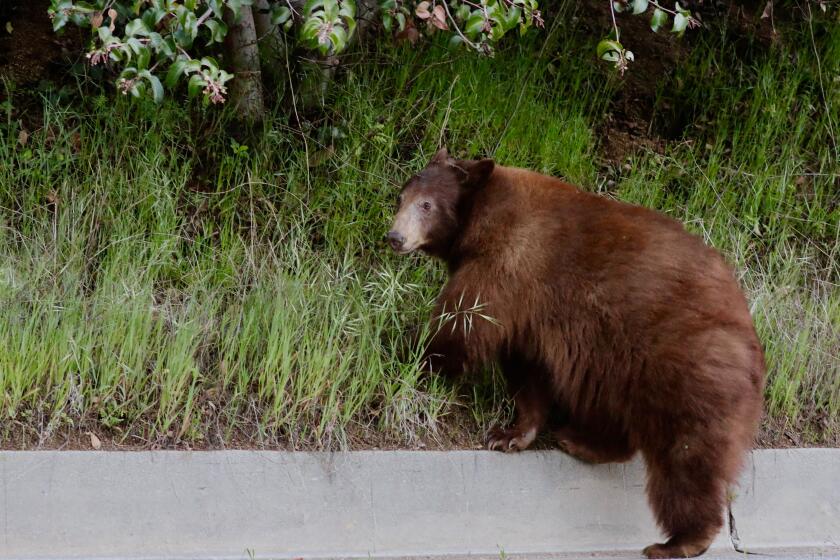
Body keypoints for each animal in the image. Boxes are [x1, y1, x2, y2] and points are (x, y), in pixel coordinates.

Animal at [386, 148, 765, 559]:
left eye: (427, 205)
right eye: (401, 197)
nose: (395, 236)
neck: (480, 219)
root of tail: (750, 336)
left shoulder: (506, 263)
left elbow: (463, 323)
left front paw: (412, 355)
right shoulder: (528, 310)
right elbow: (527, 370)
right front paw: (510, 435)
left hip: (682, 366)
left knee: (686, 456)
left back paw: (680, 541)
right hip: (621, 366)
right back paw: (579, 440)